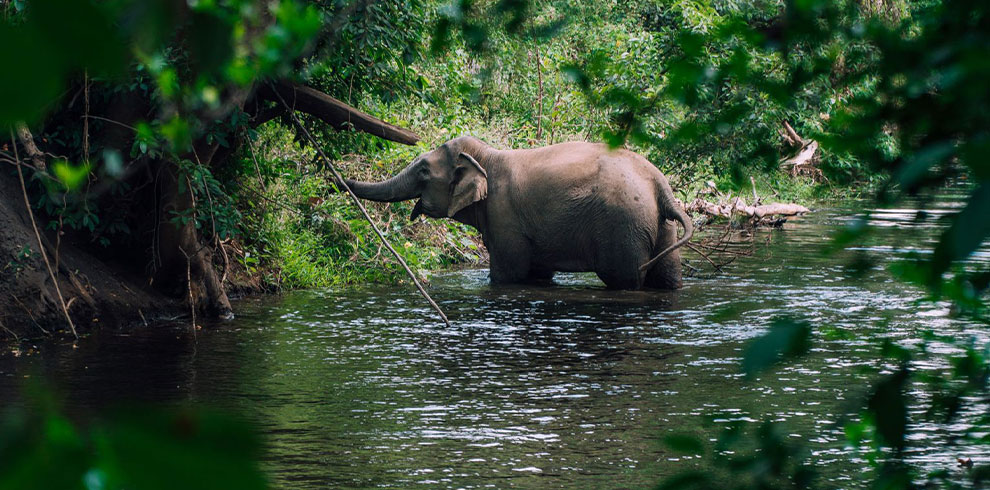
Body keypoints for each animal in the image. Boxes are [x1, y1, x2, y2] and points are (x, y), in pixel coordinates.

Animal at [344, 136, 692, 290]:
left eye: (423, 172)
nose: (340, 178)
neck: (487, 155)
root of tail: (660, 184)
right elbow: (538, 274)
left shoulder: (504, 216)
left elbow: (508, 275)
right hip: (658, 226)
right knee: (667, 277)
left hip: (623, 226)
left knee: (625, 280)